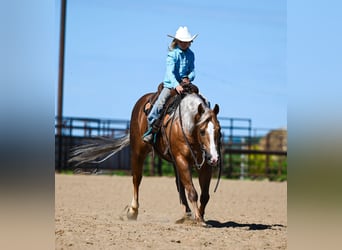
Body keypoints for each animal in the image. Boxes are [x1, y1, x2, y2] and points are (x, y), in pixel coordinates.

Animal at [71, 86, 223, 227]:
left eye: (219, 130)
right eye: (202, 131)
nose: (215, 158)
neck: (186, 124)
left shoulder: (204, 165)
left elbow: (204, 195)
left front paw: (200, 217)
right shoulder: (181, 160)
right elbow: (192, 191)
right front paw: (198, 219)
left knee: (179, 185)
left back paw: (186, 215)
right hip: (138, 151)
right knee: (137, 178)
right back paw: (133, 211)